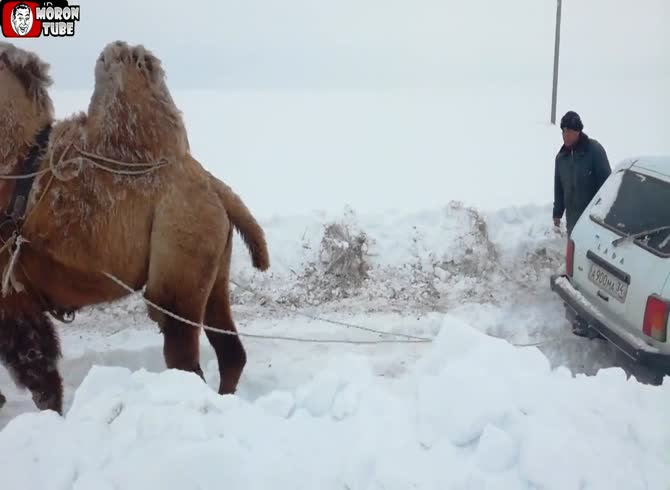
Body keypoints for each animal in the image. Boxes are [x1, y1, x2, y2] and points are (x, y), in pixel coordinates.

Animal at [0, 41, 270, 414]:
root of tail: (214, 185)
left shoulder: (11, 291)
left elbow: (41, 376)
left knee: (180, 347)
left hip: (179, 252)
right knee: (230, 350)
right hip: (216, 265)